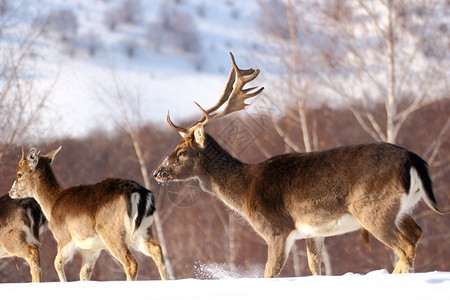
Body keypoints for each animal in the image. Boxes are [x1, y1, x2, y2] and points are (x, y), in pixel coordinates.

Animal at [10, 148, 169, 282]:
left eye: (19, 174)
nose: (11, 192)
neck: (52, 205)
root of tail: (139, 193)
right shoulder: (91, 250)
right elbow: (84, 274)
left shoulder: (64, 238)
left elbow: (57, 264)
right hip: (143, 230)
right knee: (157, 250)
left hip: (112, 233)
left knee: (131, 263)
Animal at [154, 52, 446, 278]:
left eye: (182, 152)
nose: (158, 172)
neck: (245, 191)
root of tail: (414, 160)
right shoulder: (314, 233)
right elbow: (316, 269)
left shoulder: (277, 230)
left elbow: (269, 274)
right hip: (401, 208)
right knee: (416, 233)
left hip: (373, 208)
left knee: (405, 247)